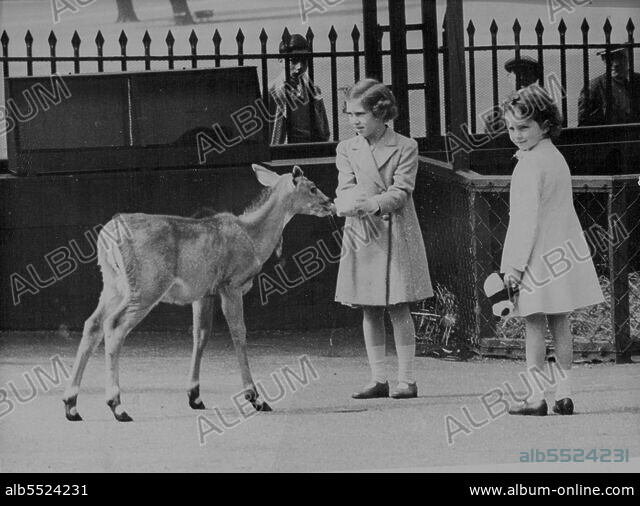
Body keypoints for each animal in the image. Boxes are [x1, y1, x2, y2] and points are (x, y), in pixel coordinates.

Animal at [63, 164, 336, 422]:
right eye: (312, 187)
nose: (330, 203)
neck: (253, 237)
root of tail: (107, 237)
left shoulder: (204, 293)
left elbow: (200, 335)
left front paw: (194, 396)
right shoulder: (231, 284)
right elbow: (239, 333)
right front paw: (255, 397)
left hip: (113, 285)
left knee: (93, 324)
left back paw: (71, 405)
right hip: (146, 286)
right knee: (114, 325)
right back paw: (117, 406)